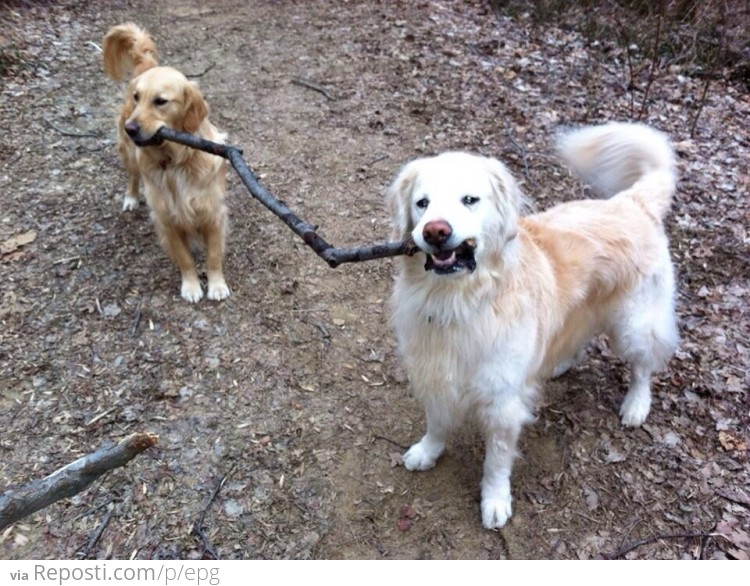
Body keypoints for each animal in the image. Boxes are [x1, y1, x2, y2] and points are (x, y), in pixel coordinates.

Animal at [103, 22, 229, 302]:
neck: (175, 161)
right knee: (132, 175)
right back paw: (130, 198)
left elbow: (214, 256)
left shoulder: (212, 214)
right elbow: (185, 259)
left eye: (160, 101)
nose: (130, 129)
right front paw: (191, 286)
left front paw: (216, 285)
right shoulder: (166, 219)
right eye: (137, 98)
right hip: (128, 153)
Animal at [388, 121, 680, 528]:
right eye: (422, 203)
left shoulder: (502, 403)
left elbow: (496, 460)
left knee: (642, 365)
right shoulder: (435, 372)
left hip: (635, 323)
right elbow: (437, 422)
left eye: (469, 200)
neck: (460, 299)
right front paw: (427, 451)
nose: (435, 231)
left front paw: (495, 500)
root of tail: (630, 200)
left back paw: (636, 405)